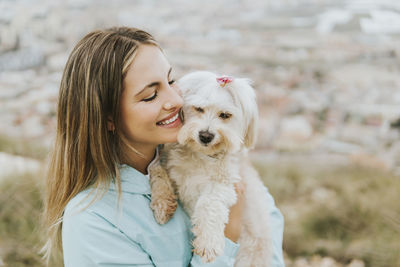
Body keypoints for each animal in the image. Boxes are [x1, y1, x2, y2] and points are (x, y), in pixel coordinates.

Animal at [148, 70, 274, 266]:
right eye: (199, 109)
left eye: (225, 115)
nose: (206, 135)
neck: (201, 155)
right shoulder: (166, 160)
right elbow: (157, 169)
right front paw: (163, 204)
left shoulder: (225, 184)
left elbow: (209, 203)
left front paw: (208, 243)